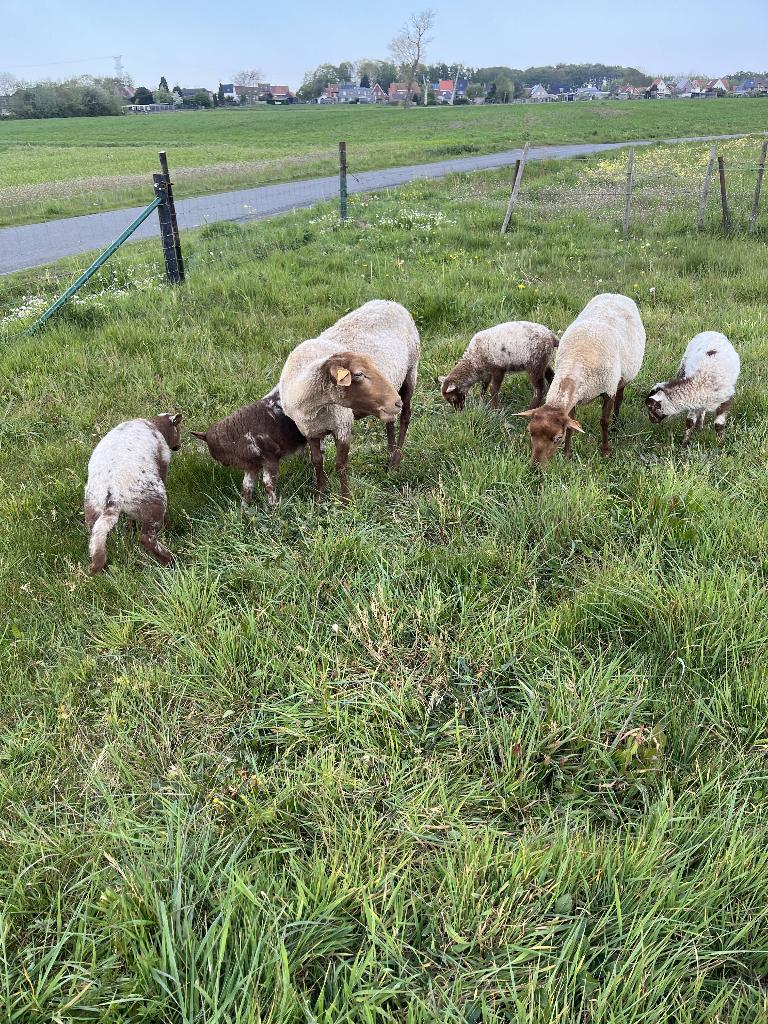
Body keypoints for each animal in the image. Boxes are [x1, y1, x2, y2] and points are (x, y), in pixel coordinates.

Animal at [84, 413, 182, 574]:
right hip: (154, 499)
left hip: (92, 507)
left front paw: (129, 528)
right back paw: (170, 560)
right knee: (146, 538)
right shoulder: (163, 465)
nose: (178, 446)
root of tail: (113, 495)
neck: (155, 425)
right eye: (178, 429)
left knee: (95, 538)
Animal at [279, 300, 421, 498]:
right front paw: (320, 494)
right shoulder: (309, 430)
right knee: (390, 420)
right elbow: (317, 460)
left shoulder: (343, 424)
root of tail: (390, 302)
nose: (396, 402)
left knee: (405, 416)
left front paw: (346, 498)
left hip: (411, 370)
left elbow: (341, 464)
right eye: (359, 374)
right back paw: (391, 450)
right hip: (387, 402)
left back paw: (395, 460)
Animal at [515, 293, 645, 467]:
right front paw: (567, 454)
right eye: (530, 432)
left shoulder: (608, 388)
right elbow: (571, 425)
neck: (578, 360)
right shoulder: (573, 399)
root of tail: (615, 294)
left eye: (558, 438)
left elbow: (604, 421)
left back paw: (616, 423)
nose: (535, 467)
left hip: (623, 376)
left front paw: (605, 451)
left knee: (620, 397)